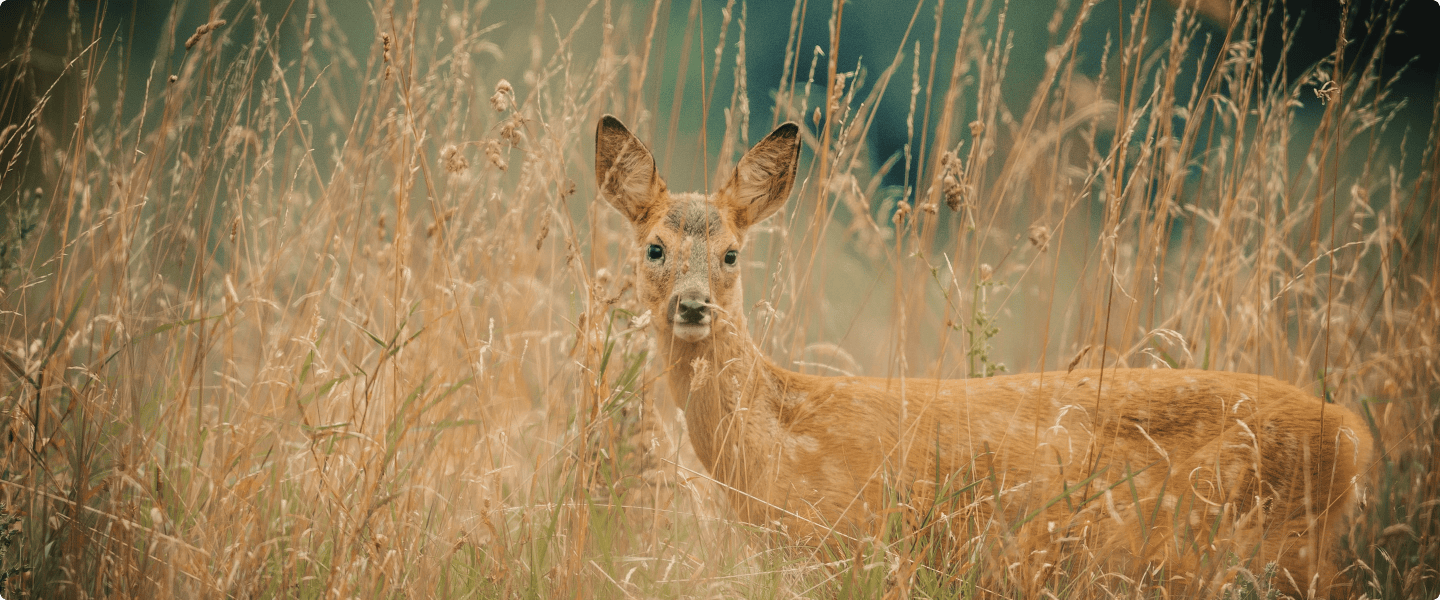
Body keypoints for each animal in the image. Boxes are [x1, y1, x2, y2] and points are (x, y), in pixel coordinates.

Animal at [593, 113, 1370, 592]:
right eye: (654, 248)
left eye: (731, 253)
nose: (694, 306)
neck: (781, 435)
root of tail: (1355, 434)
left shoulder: (865, 551)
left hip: (1269, 549)